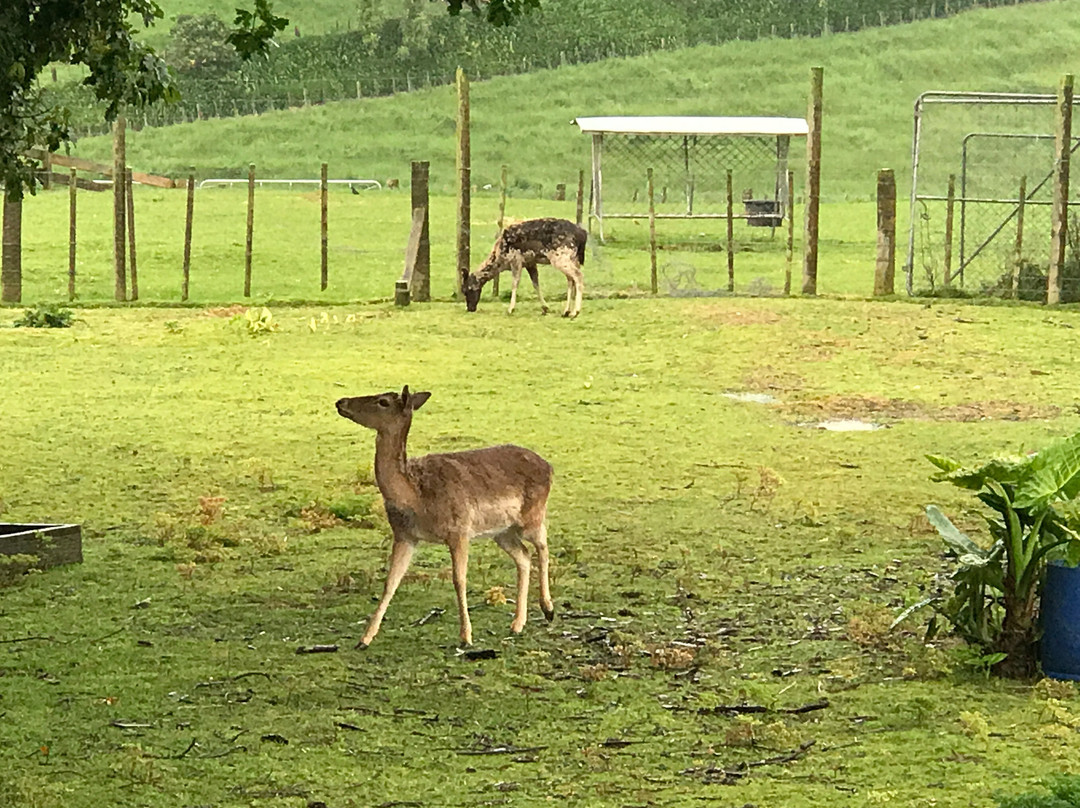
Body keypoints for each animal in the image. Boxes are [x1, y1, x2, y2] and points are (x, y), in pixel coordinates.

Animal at [334, 386, 557, 648]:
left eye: (383, 401)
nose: (341, 402)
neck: (416, 498)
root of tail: (549, 466)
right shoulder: (404, 535)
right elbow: (391, 581)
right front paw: (364, 639)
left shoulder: (459, 530)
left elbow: (459, 580)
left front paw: (466, 637)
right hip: (501, 532)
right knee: (524, 556)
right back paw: (517, 624)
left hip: (532, 515)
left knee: (543, 546)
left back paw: (548, 609)